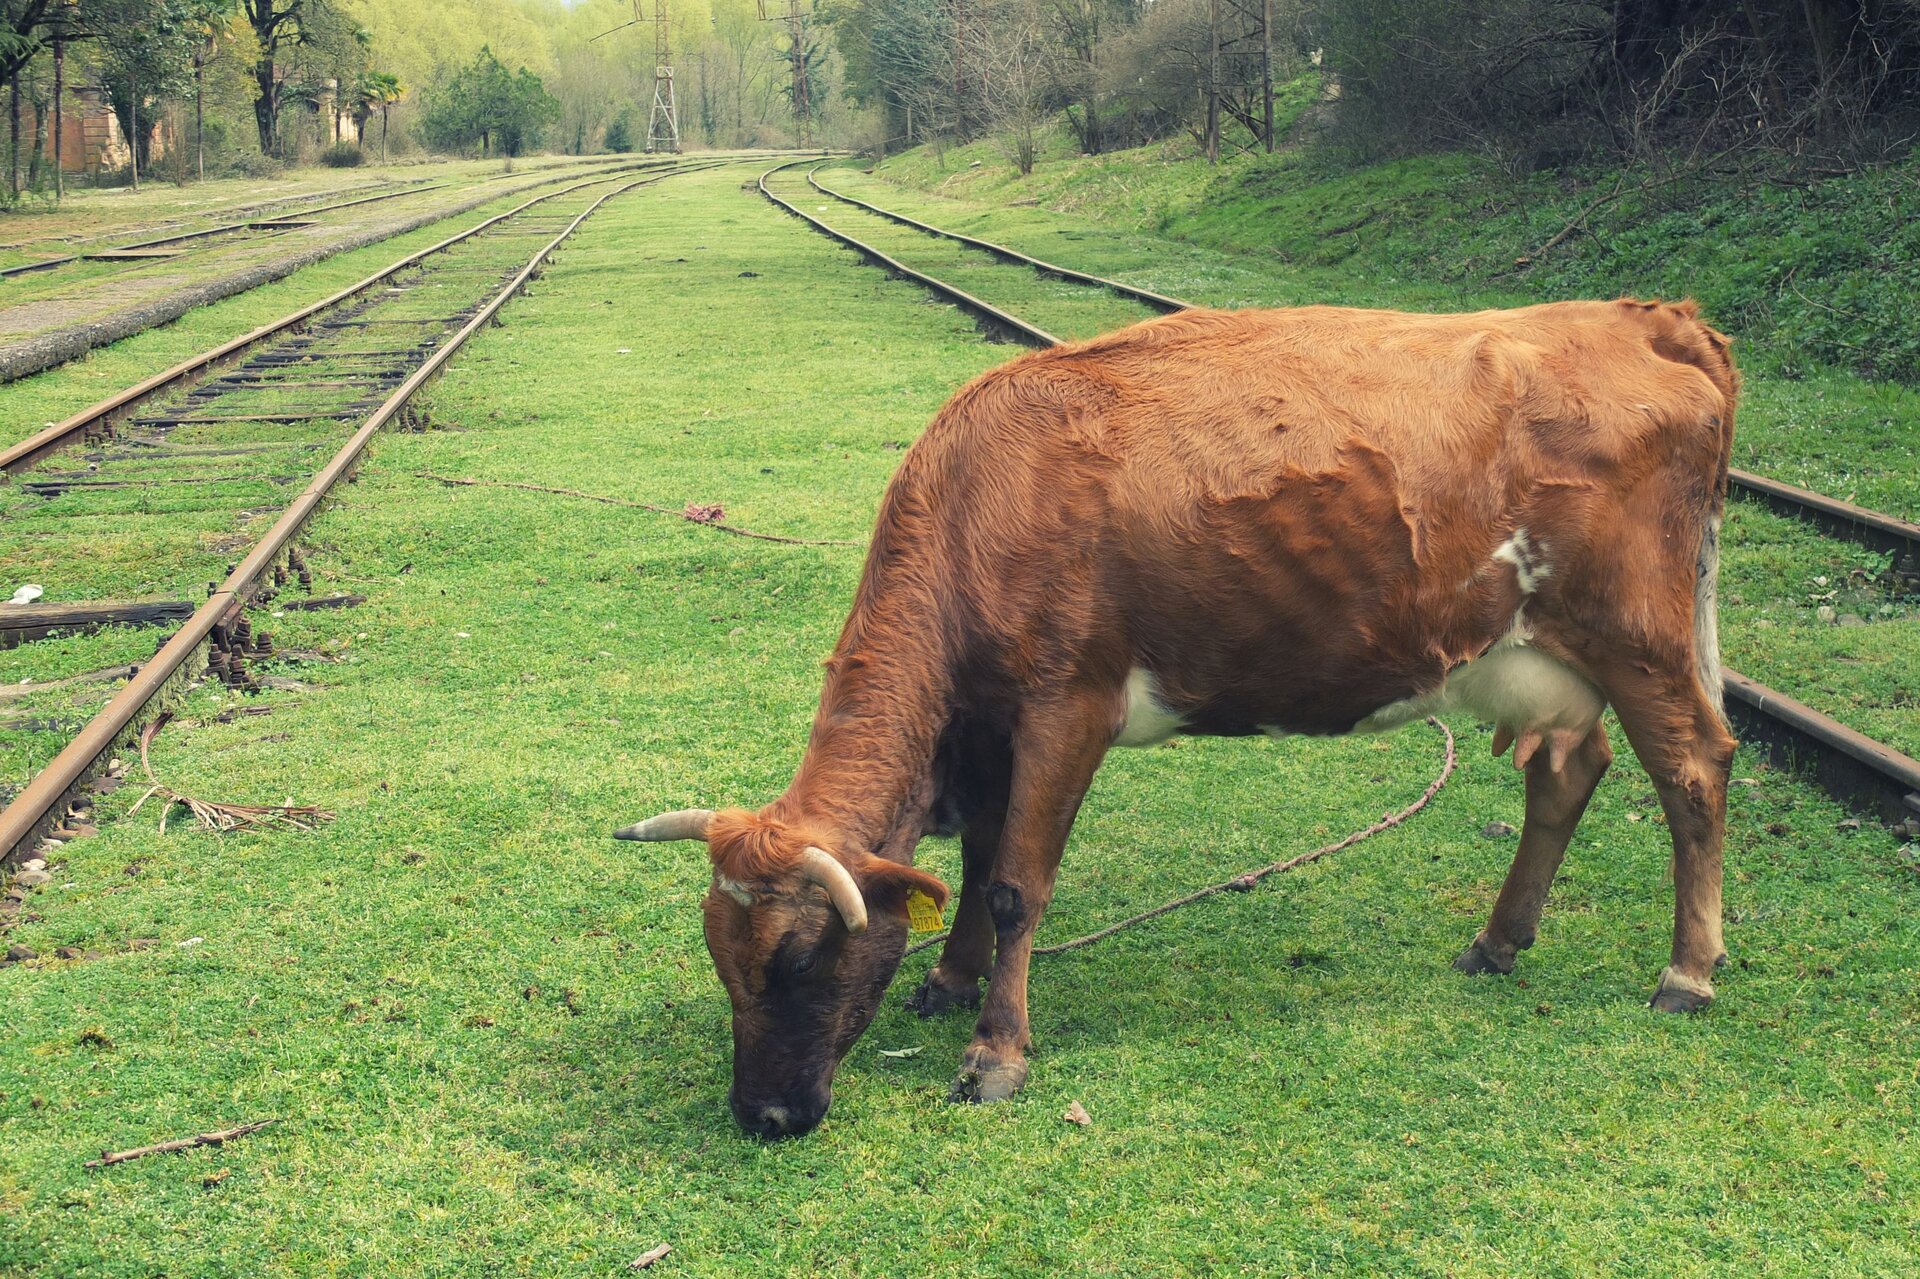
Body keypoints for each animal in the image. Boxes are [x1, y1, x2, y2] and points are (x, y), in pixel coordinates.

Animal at [614, 301, 1743, 1136]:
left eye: (801, 959)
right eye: (723, 958)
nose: (761, 1114)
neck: (984, 496)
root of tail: (1643, 318)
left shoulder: (1067, 703)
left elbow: (1019, 883)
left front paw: (995, 1052)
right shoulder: (992, 729)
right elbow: (976, 860)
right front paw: (948, 975)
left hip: (1637, 633)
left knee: (1693, 767)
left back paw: (1687, 970)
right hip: (1538, 656)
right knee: (1568, 772)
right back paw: (1498, 941)